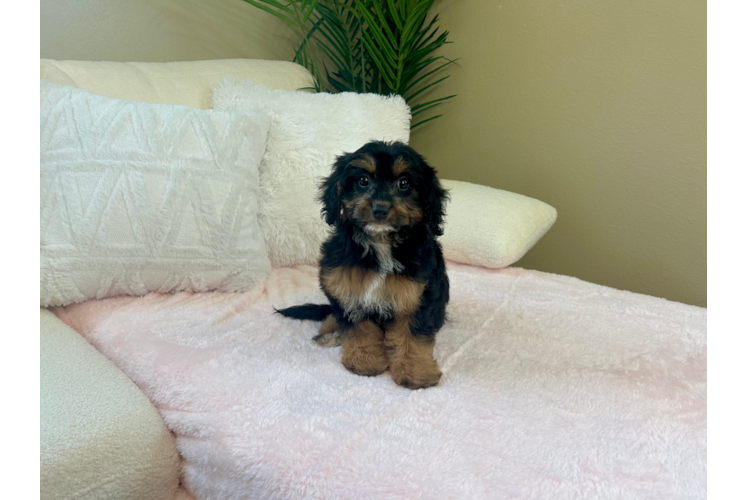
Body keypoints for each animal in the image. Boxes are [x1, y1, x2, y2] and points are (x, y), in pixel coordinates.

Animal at [276, 141, 448, 390]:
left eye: (404, 183)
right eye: (363, 180)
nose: (380, 209)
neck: (381, 244)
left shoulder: (418, 294)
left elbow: (412, 334)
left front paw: (415, 372)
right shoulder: (347, 285)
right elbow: (359, 328)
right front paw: (364, 361)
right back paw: (330, 333)